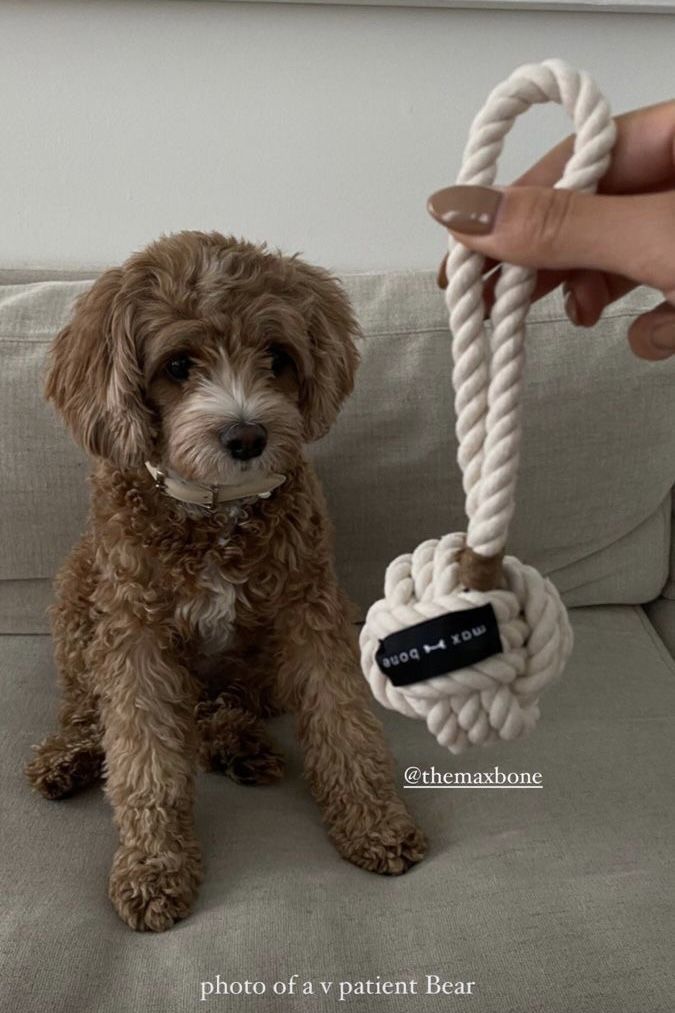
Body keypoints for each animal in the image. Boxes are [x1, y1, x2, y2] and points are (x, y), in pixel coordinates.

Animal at [27, 231, 425, 931]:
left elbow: (343, 721)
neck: (216, 511)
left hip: (250, 666)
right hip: (78, 591)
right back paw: (68, 757)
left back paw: (236, 744)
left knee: (225, 705)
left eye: (277, 356)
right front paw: (154, 868)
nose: (247, 435)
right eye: (178, 365)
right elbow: (144, 759)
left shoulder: (308, 610)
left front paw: (376, 823)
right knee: (87, 708)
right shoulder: (134, 634)